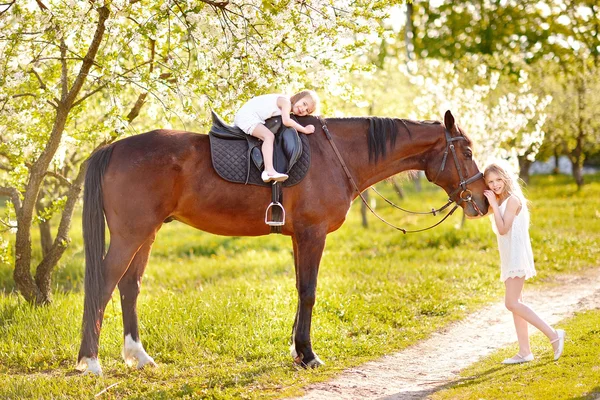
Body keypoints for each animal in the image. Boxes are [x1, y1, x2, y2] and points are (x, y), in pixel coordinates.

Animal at [76, 110, 488, 376]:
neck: (336, 155)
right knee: (104, 285)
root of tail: (113, 149)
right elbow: (309, 291)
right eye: (467, 153)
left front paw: (296, 350)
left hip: (146, 233)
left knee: (129, 287)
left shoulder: (297, 237)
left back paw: (139, 356)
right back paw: (90, 362)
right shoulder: (312, 234)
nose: (483, 201)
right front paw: (308, 355)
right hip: (131, 234)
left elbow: (298, 289)